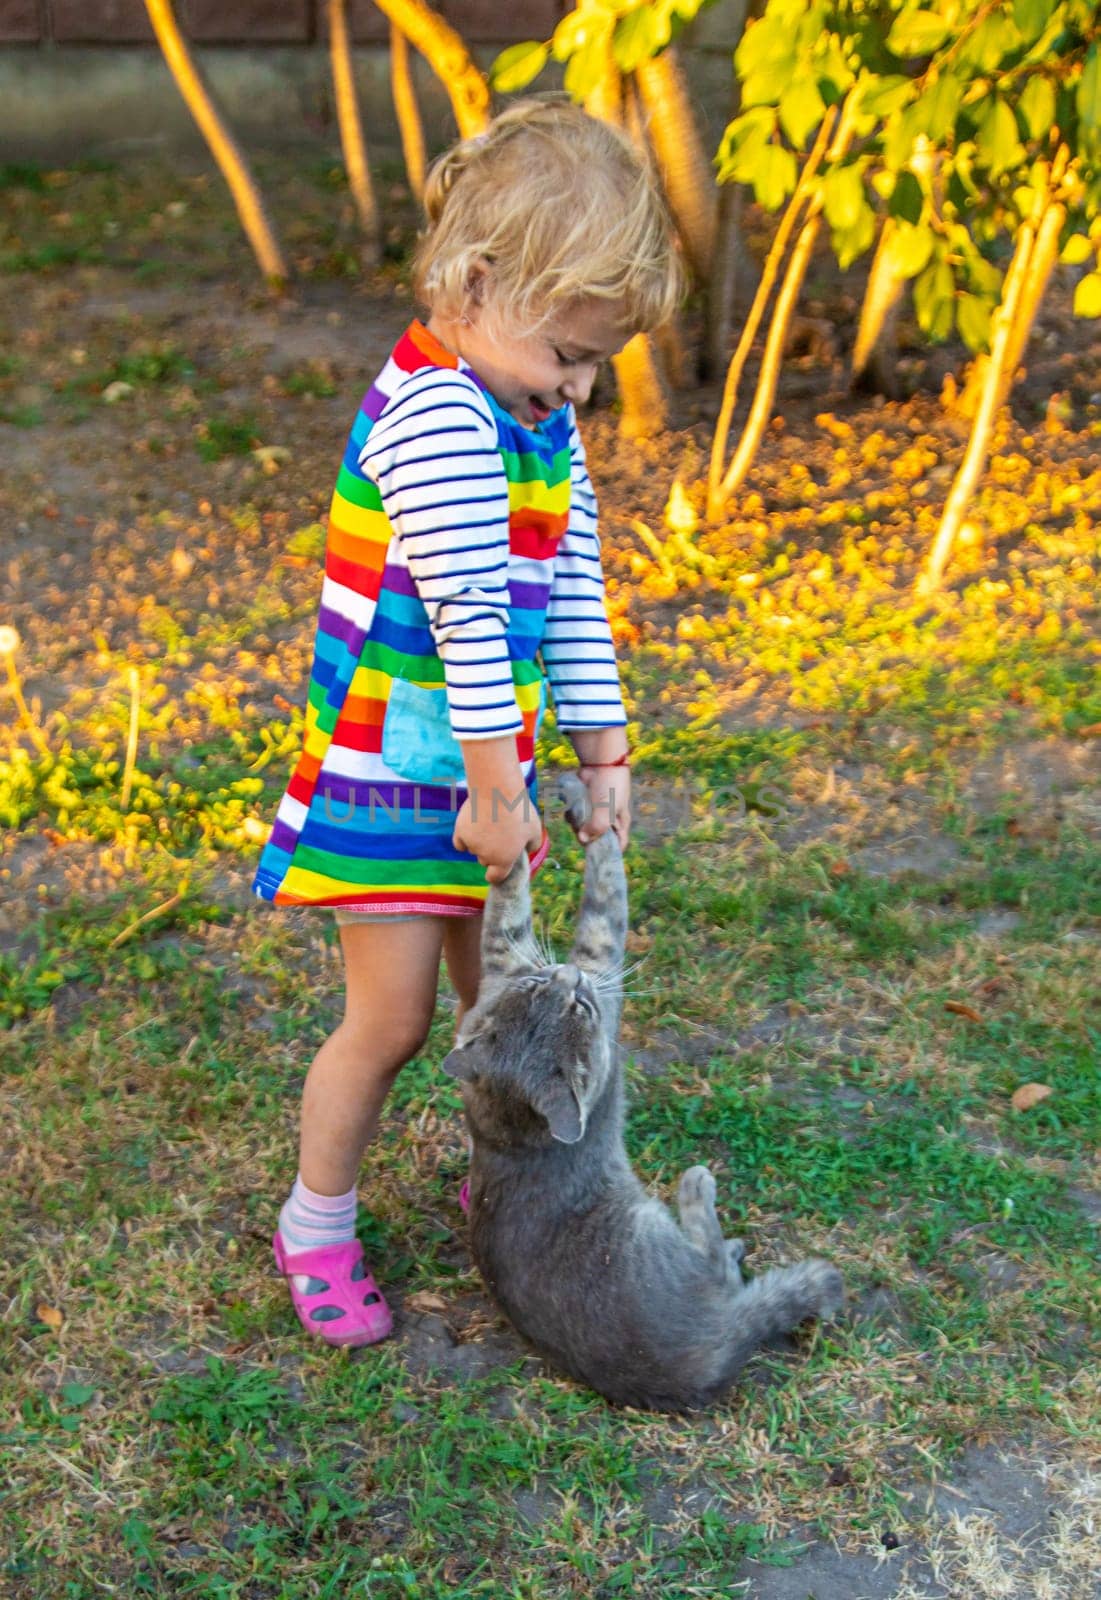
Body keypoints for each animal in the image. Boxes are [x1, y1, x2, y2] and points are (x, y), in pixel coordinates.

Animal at [441, 774, 844, 1414]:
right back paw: (700, 1194)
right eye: (577, 1008)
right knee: (715, 1264)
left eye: (541, 989)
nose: (568, 978)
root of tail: (718, 1355)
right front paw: (576, 805)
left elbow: (507, 896)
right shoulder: (592, 958)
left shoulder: (502, 963)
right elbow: (599, 887)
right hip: (667, 1245)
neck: (511, 1125)